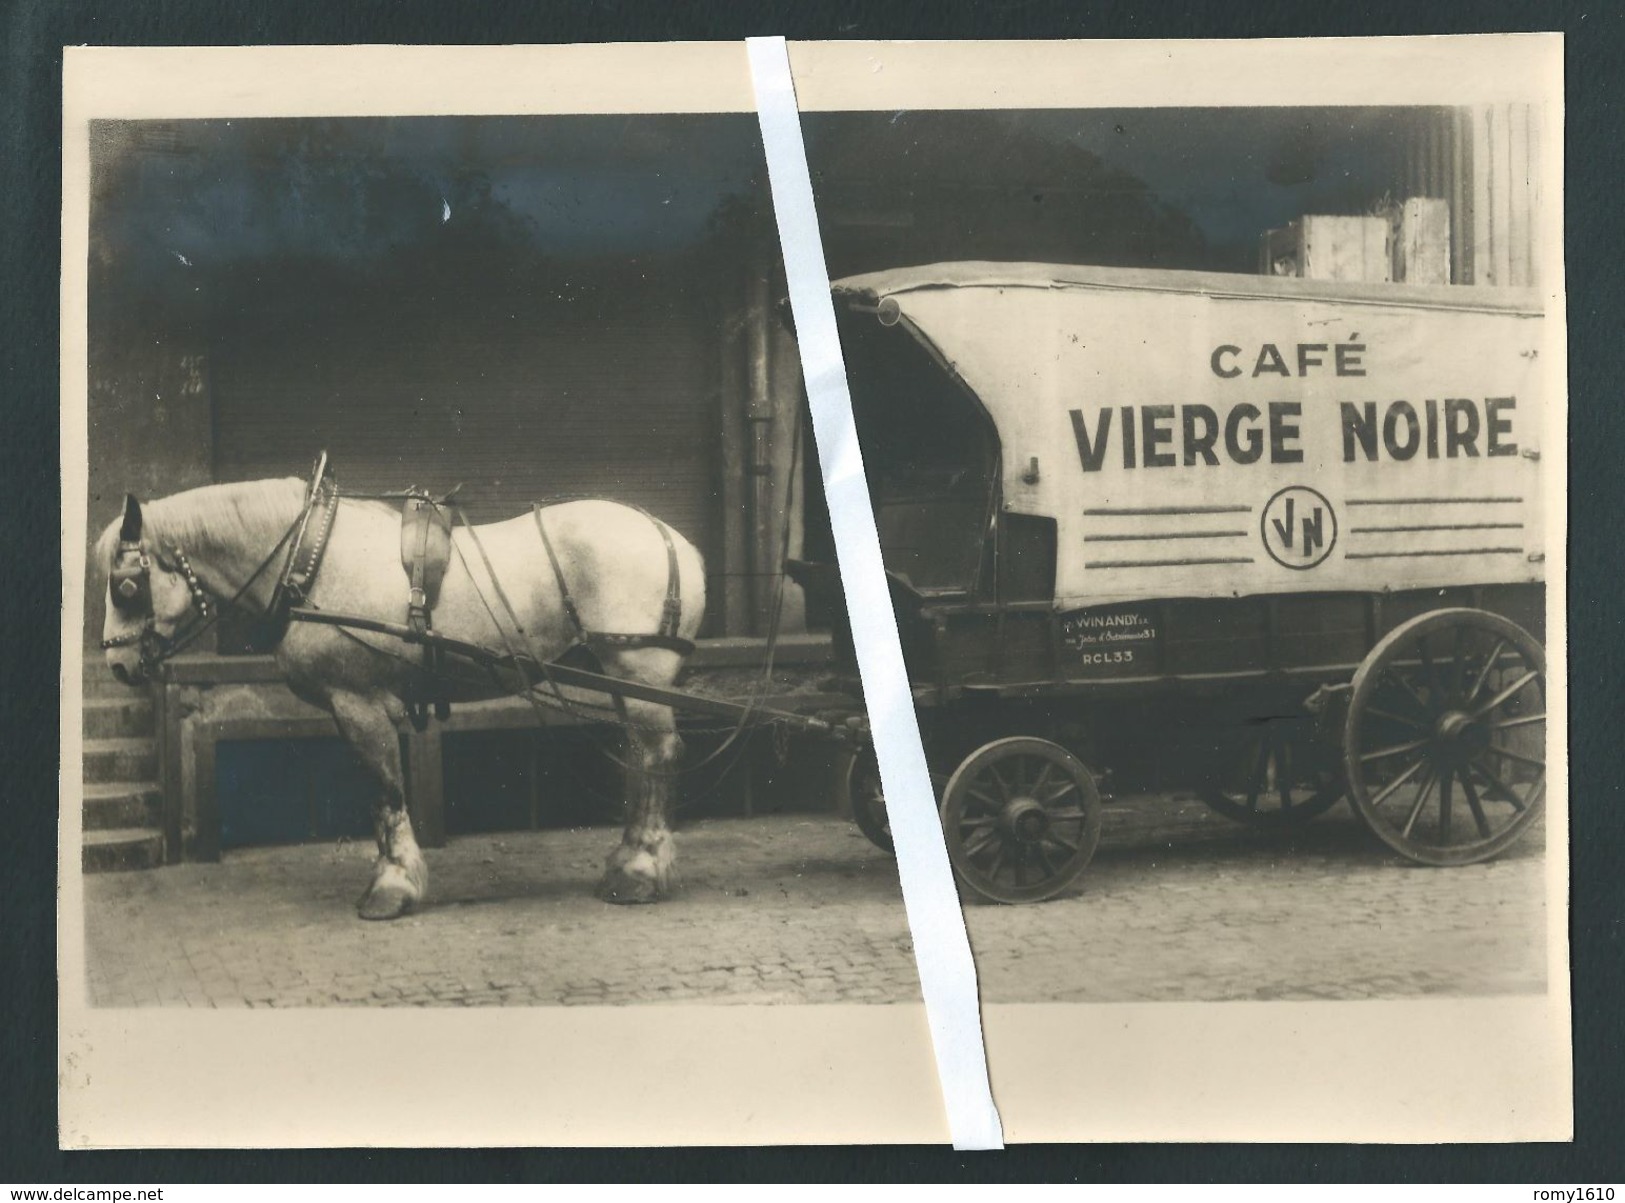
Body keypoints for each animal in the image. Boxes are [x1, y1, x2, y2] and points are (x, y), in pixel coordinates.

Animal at [95, 474, 705, 916]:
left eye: (125, 586)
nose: (118, 664)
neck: (309, 561)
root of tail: (673, 539)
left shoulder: (358, 702)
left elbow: (387, 791)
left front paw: (391, 887)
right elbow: (381, 794)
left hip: (638, 672)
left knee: (657, 758)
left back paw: (641, 871)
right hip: (623, 681)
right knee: (643, 757)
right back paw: (627, 860)